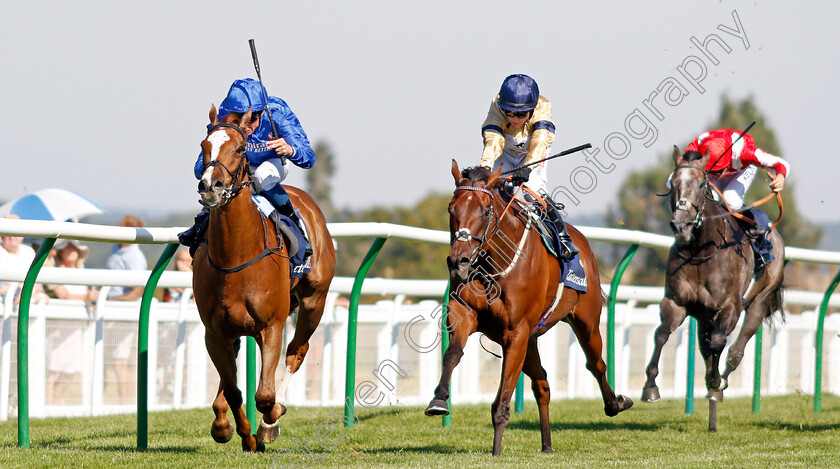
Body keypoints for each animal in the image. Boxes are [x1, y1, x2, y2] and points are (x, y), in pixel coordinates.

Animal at [193, 105, 334, 450]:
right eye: (204, 147)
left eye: (240, 149)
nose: (211, 186)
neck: (236, 257)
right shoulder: (214, 331)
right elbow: (233, 391)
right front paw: (236, 431)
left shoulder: (272, 326)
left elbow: (265, 396)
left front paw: (269, 422)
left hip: (313, 301)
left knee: (297, 352)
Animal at [426, 161, 632, 454]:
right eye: (450, 209)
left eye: (486, 209)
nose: (458, 261)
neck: (495, 266)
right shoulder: (465, 316)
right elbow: (452, 354)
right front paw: (439, 400)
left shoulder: (516, 333)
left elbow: (503, 397)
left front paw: (496, 451)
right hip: (532, 339)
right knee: (542, 384)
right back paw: (547, 444)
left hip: (586, 322)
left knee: (596, 364)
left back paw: (616, 404)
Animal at [644, 146, 788, 428]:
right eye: (673, 184)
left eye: (701, 185)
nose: (681, 225)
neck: (701, 251)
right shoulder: (676, 303)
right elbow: (661, 334)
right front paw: (650, 387)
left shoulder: (730, 306)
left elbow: (719, 343)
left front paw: (714, 381)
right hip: (704, 316)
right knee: (705, 345)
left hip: (760, 300)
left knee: (735, 349)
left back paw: (719, 384)